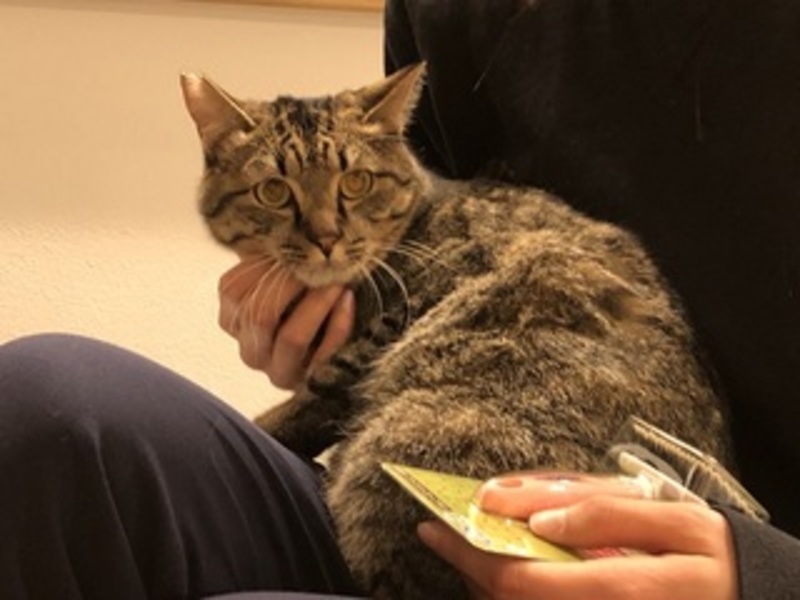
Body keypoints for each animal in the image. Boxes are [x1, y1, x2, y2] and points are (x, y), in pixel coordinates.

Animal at [181, 63, 730, 599]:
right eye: (274, 190)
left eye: (356, 182)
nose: (326, 238)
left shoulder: (375, 340)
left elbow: (300, 409)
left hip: (404, 447)